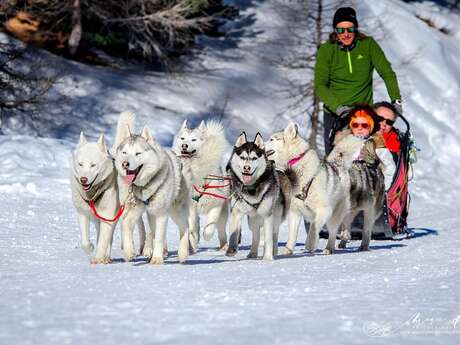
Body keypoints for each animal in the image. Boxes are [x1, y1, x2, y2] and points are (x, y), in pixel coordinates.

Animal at [70, 133, 118, 262]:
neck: (92, 196)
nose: (83, 179)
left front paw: (98, 258)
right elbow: (85, 240)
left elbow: (103, 241)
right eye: (80, 164)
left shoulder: (108, 217)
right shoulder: (83, 213)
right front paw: (90, 247)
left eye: (93, 165)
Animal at [112, 111, 190, 262]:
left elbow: (159, 237)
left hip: (175, 211)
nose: (125, 164)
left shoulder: (161, 214)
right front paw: (129, 252)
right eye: (124, 153)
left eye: (138, 153)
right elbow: (125, 225)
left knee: (185, 227)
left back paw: (183, 253)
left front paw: (157, 259)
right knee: (150, 232)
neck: (144, 186)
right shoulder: (134, 210)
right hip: (149, 214)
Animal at [172, 119, 230, 251]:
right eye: (182, 138)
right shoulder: (190, 206)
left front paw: (206, 235)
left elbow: (210, 226)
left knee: (221, 229)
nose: (184, 146)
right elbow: (192, 227)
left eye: (193, 140)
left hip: (223, 213)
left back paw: (224, 246)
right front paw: (193, 242)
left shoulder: (216, 204)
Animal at [266, 122, 362, 254]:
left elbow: (313, 228)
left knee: (332, 233)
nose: (258, 144)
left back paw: (328, 249)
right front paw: (288, 250)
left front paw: (310, 245)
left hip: (334, 216)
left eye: (272, 139)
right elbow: (292, 235)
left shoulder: (324, 210)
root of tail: (337, 165)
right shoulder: (294, 212)